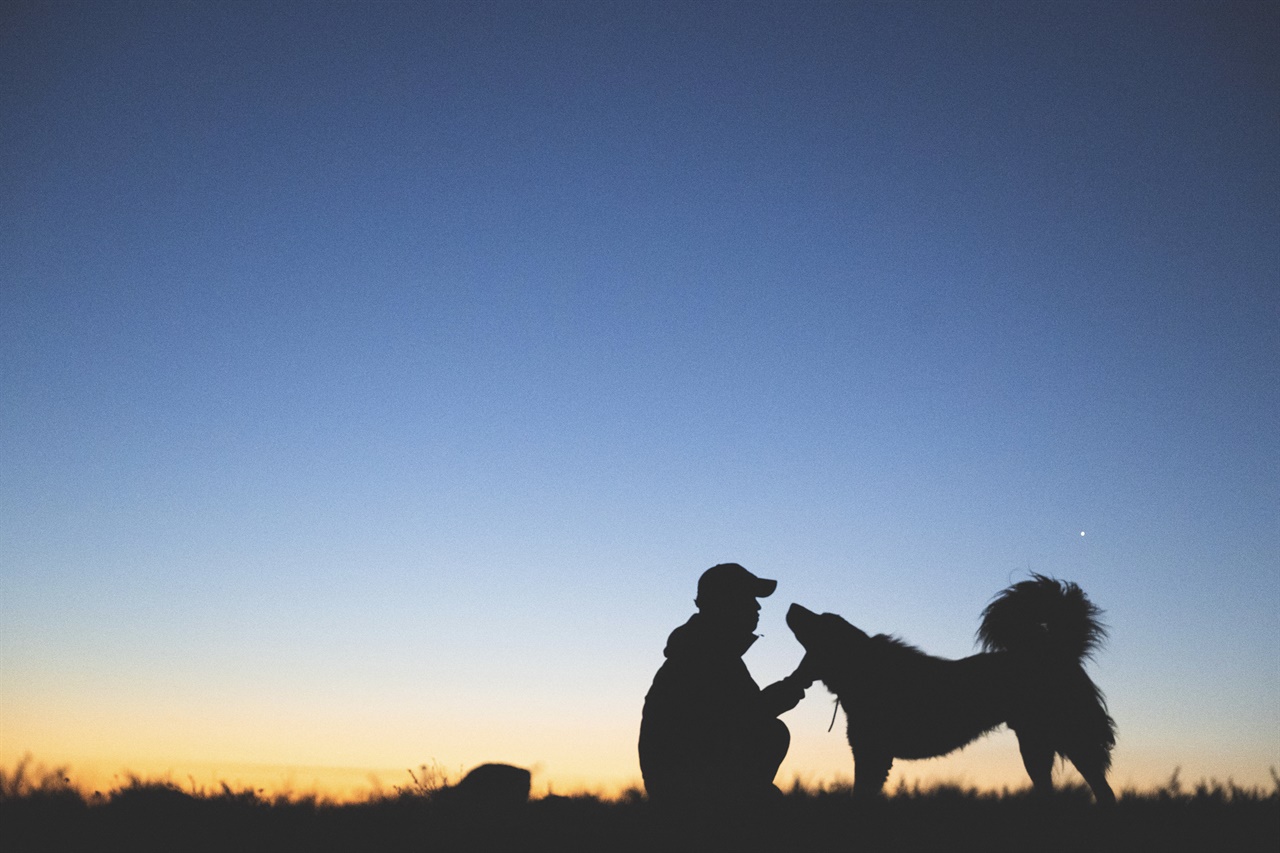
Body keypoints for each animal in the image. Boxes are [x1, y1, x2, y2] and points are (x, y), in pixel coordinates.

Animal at [783, 573, 1116, 799]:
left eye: (822, 620)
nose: (791, 605)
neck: (861, 666)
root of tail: (1058, 651)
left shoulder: (872, 754)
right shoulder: (872, 755)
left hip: (1070, 739)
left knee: (1103, 790)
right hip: (1036, 744)